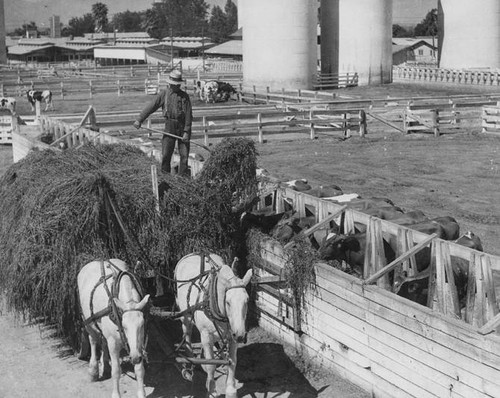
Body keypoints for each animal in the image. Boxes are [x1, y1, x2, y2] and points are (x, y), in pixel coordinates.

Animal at [77, 260, 149, 398]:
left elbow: (139, 369)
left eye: (142, 324)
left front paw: (141, 393)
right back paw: (93, 370)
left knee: (103, 342)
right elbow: (116, 371)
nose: (135, 358)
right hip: (88, 322)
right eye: (124, 326)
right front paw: (116, 394)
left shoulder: (139, 343)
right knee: (93, 340)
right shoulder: (114, 344)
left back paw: (105, 367)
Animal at [176, 255, 254, 398]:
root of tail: (191, 254)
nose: (241, 336)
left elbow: (233, 361)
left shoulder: (233, 335)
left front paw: (231, 389)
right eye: (228, 302)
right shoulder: (206, 336)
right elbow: (211, 364)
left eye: (247, 300)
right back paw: (190, 362)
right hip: (186, 316)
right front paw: (212, 390)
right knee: (187, 332)